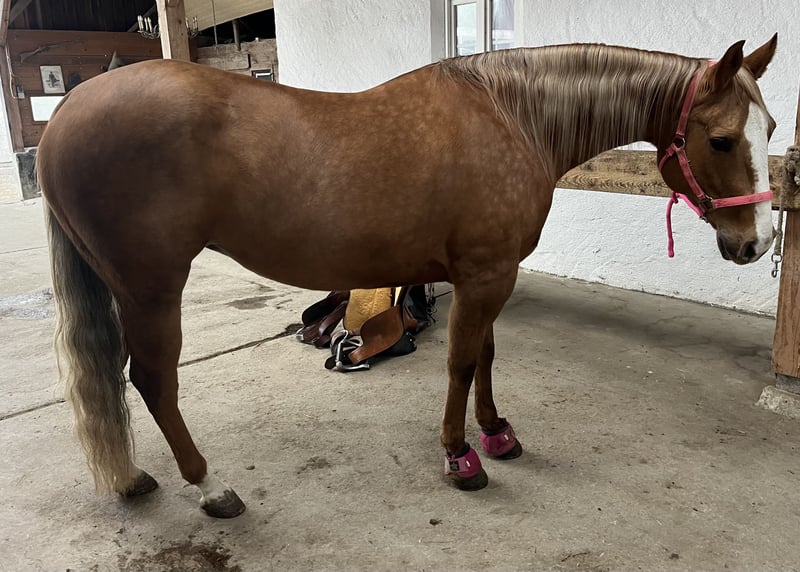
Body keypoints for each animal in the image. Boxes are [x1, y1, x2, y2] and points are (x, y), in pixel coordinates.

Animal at [38, 36, 778, 518]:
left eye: (770, 127)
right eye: (720, 139)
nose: (755, 244)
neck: (510, 114)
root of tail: (68, 111)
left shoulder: (488, 274)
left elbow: (486, 356)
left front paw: (497, 432)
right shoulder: (485, 274)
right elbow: (460, 363)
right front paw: (460, 456)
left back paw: (136, 477)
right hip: (151, 287)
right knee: (152, 380)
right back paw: (209, 486)